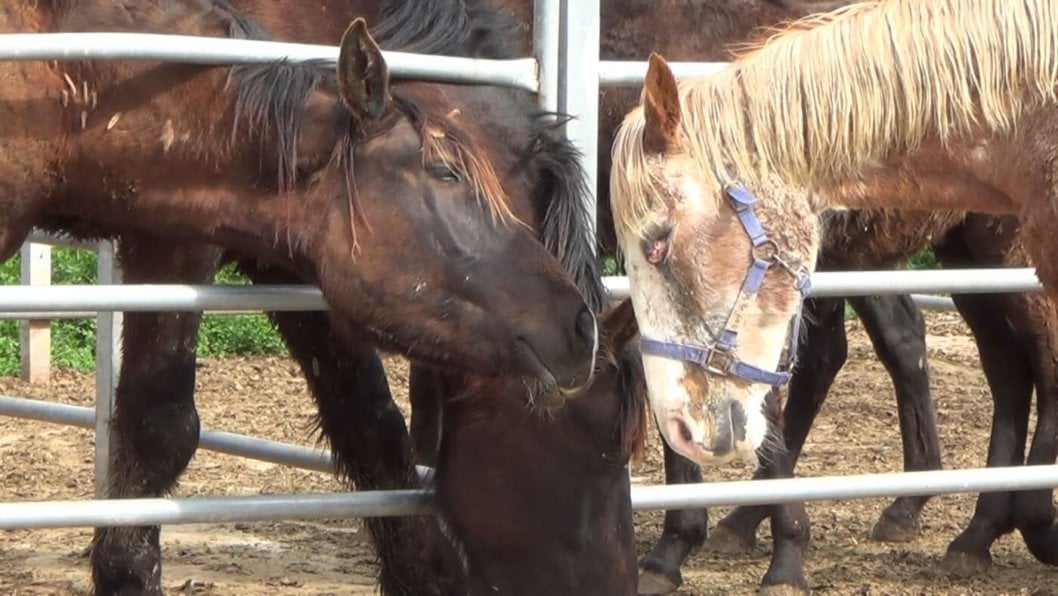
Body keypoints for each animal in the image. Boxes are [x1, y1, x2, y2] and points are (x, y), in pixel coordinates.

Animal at [3, 1, 600, 594]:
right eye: (446, 171)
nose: (579, 327)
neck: (67, 89)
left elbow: (370, 424)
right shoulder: (176, 243)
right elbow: (160, 424)